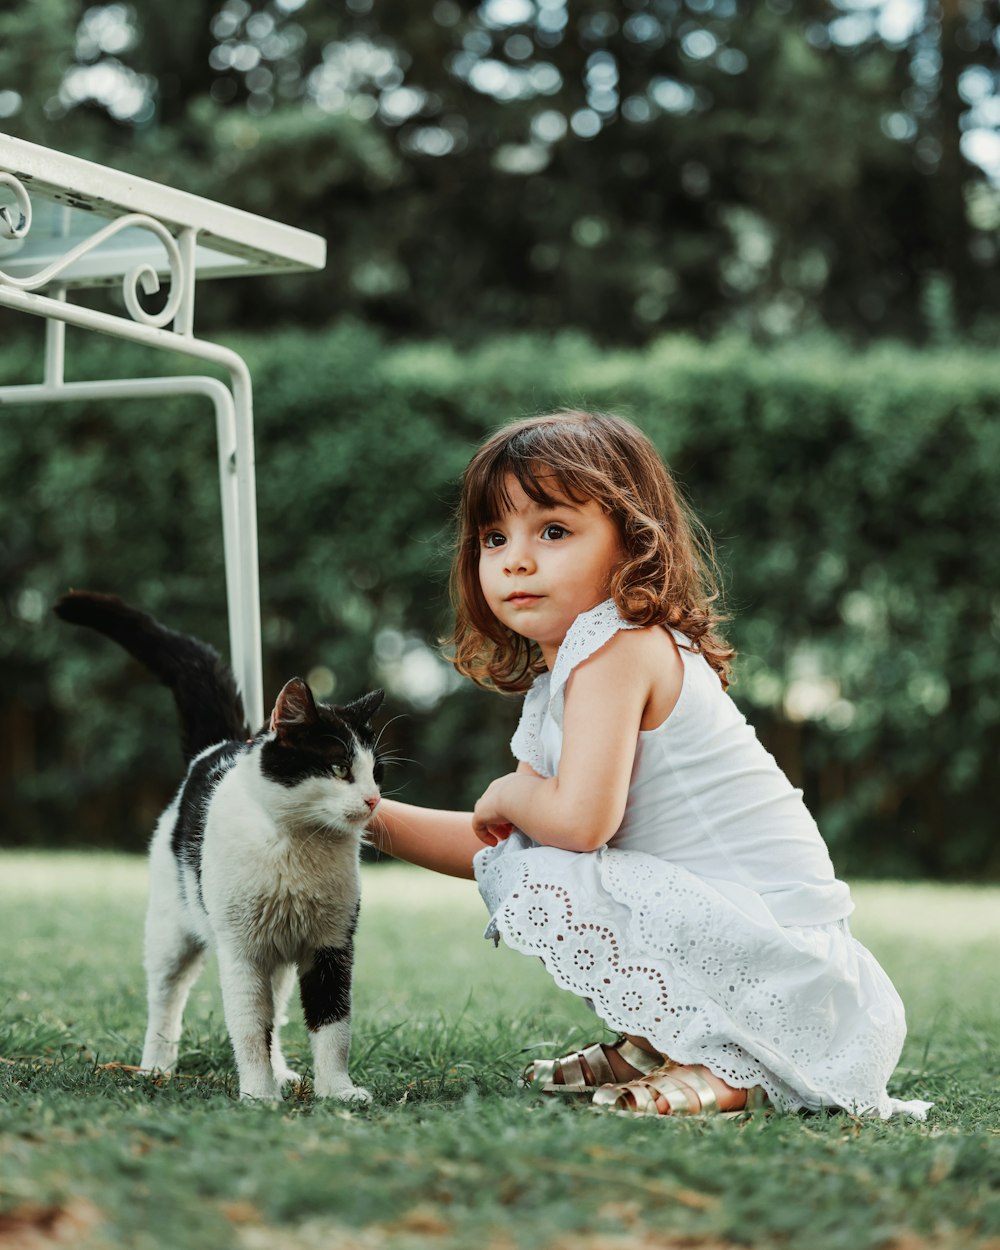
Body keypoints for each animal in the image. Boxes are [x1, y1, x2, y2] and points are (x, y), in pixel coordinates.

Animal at [55, 587, 382, 1105]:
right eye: (338, 768)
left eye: (376, 772)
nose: (373, 800)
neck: (297, 845)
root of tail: (217, 748)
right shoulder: (241, 951)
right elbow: (248, 1028)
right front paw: (258, 1097)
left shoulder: (331, 946)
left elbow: (333, 1026)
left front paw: (336, 1091)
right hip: (171, 934)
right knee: (166, 1001)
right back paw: (155, 1067)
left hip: (278, 961)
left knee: (277, 1013)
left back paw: (284, 1073)